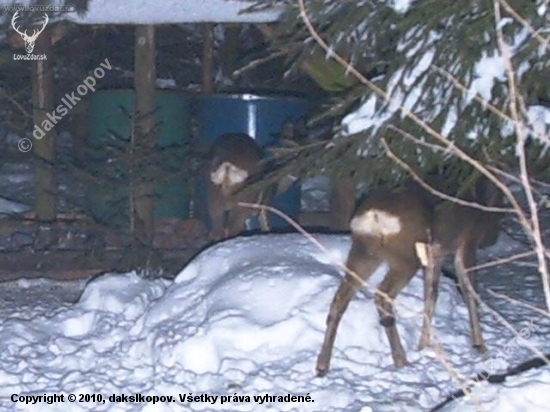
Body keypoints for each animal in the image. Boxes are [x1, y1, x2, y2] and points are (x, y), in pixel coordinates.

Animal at [314, 175, 504, 374]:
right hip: (405, 257)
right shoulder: (467, 240)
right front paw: (480, 346)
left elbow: (431, 295)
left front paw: (423, 345)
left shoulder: (435, 255)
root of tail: (374, 216)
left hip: (364, 252)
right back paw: (401, 360)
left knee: (340, 298)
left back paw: (322, 365)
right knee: (382, 296)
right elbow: (469, 292)